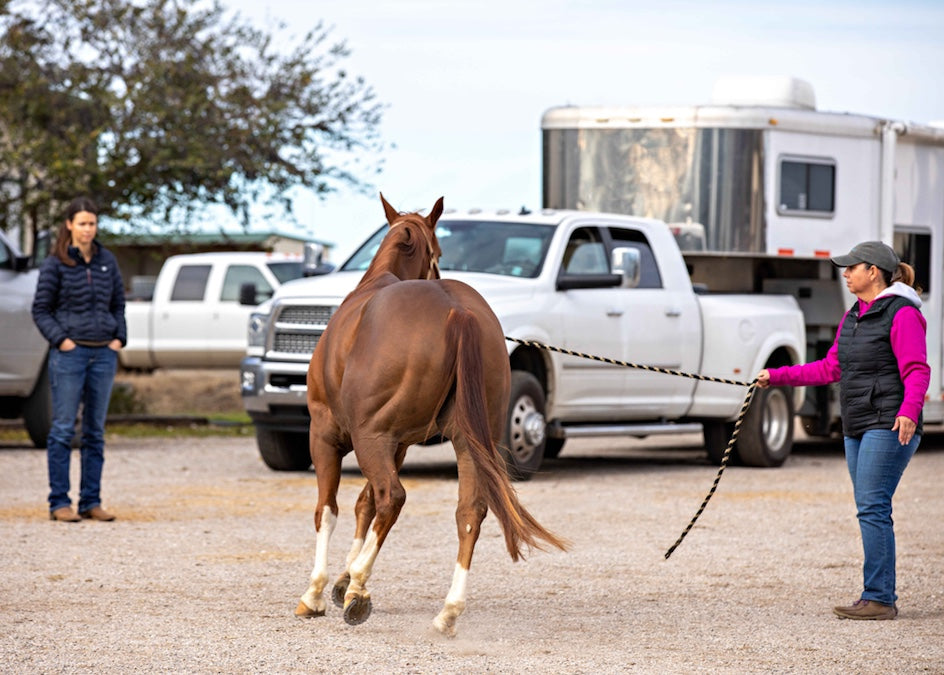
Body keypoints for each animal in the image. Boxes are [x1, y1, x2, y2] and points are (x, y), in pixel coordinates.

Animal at [296, 194, 564, 632]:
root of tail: (458, 311)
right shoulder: (399, 445)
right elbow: (363, 504)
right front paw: (343, 579)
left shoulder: (327, 435)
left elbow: (329, 509)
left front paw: (320, 590)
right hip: (469, 442)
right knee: (469, 512)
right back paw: (448, 610)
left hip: (371, 440)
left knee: (393, 498)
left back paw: (360, 588)